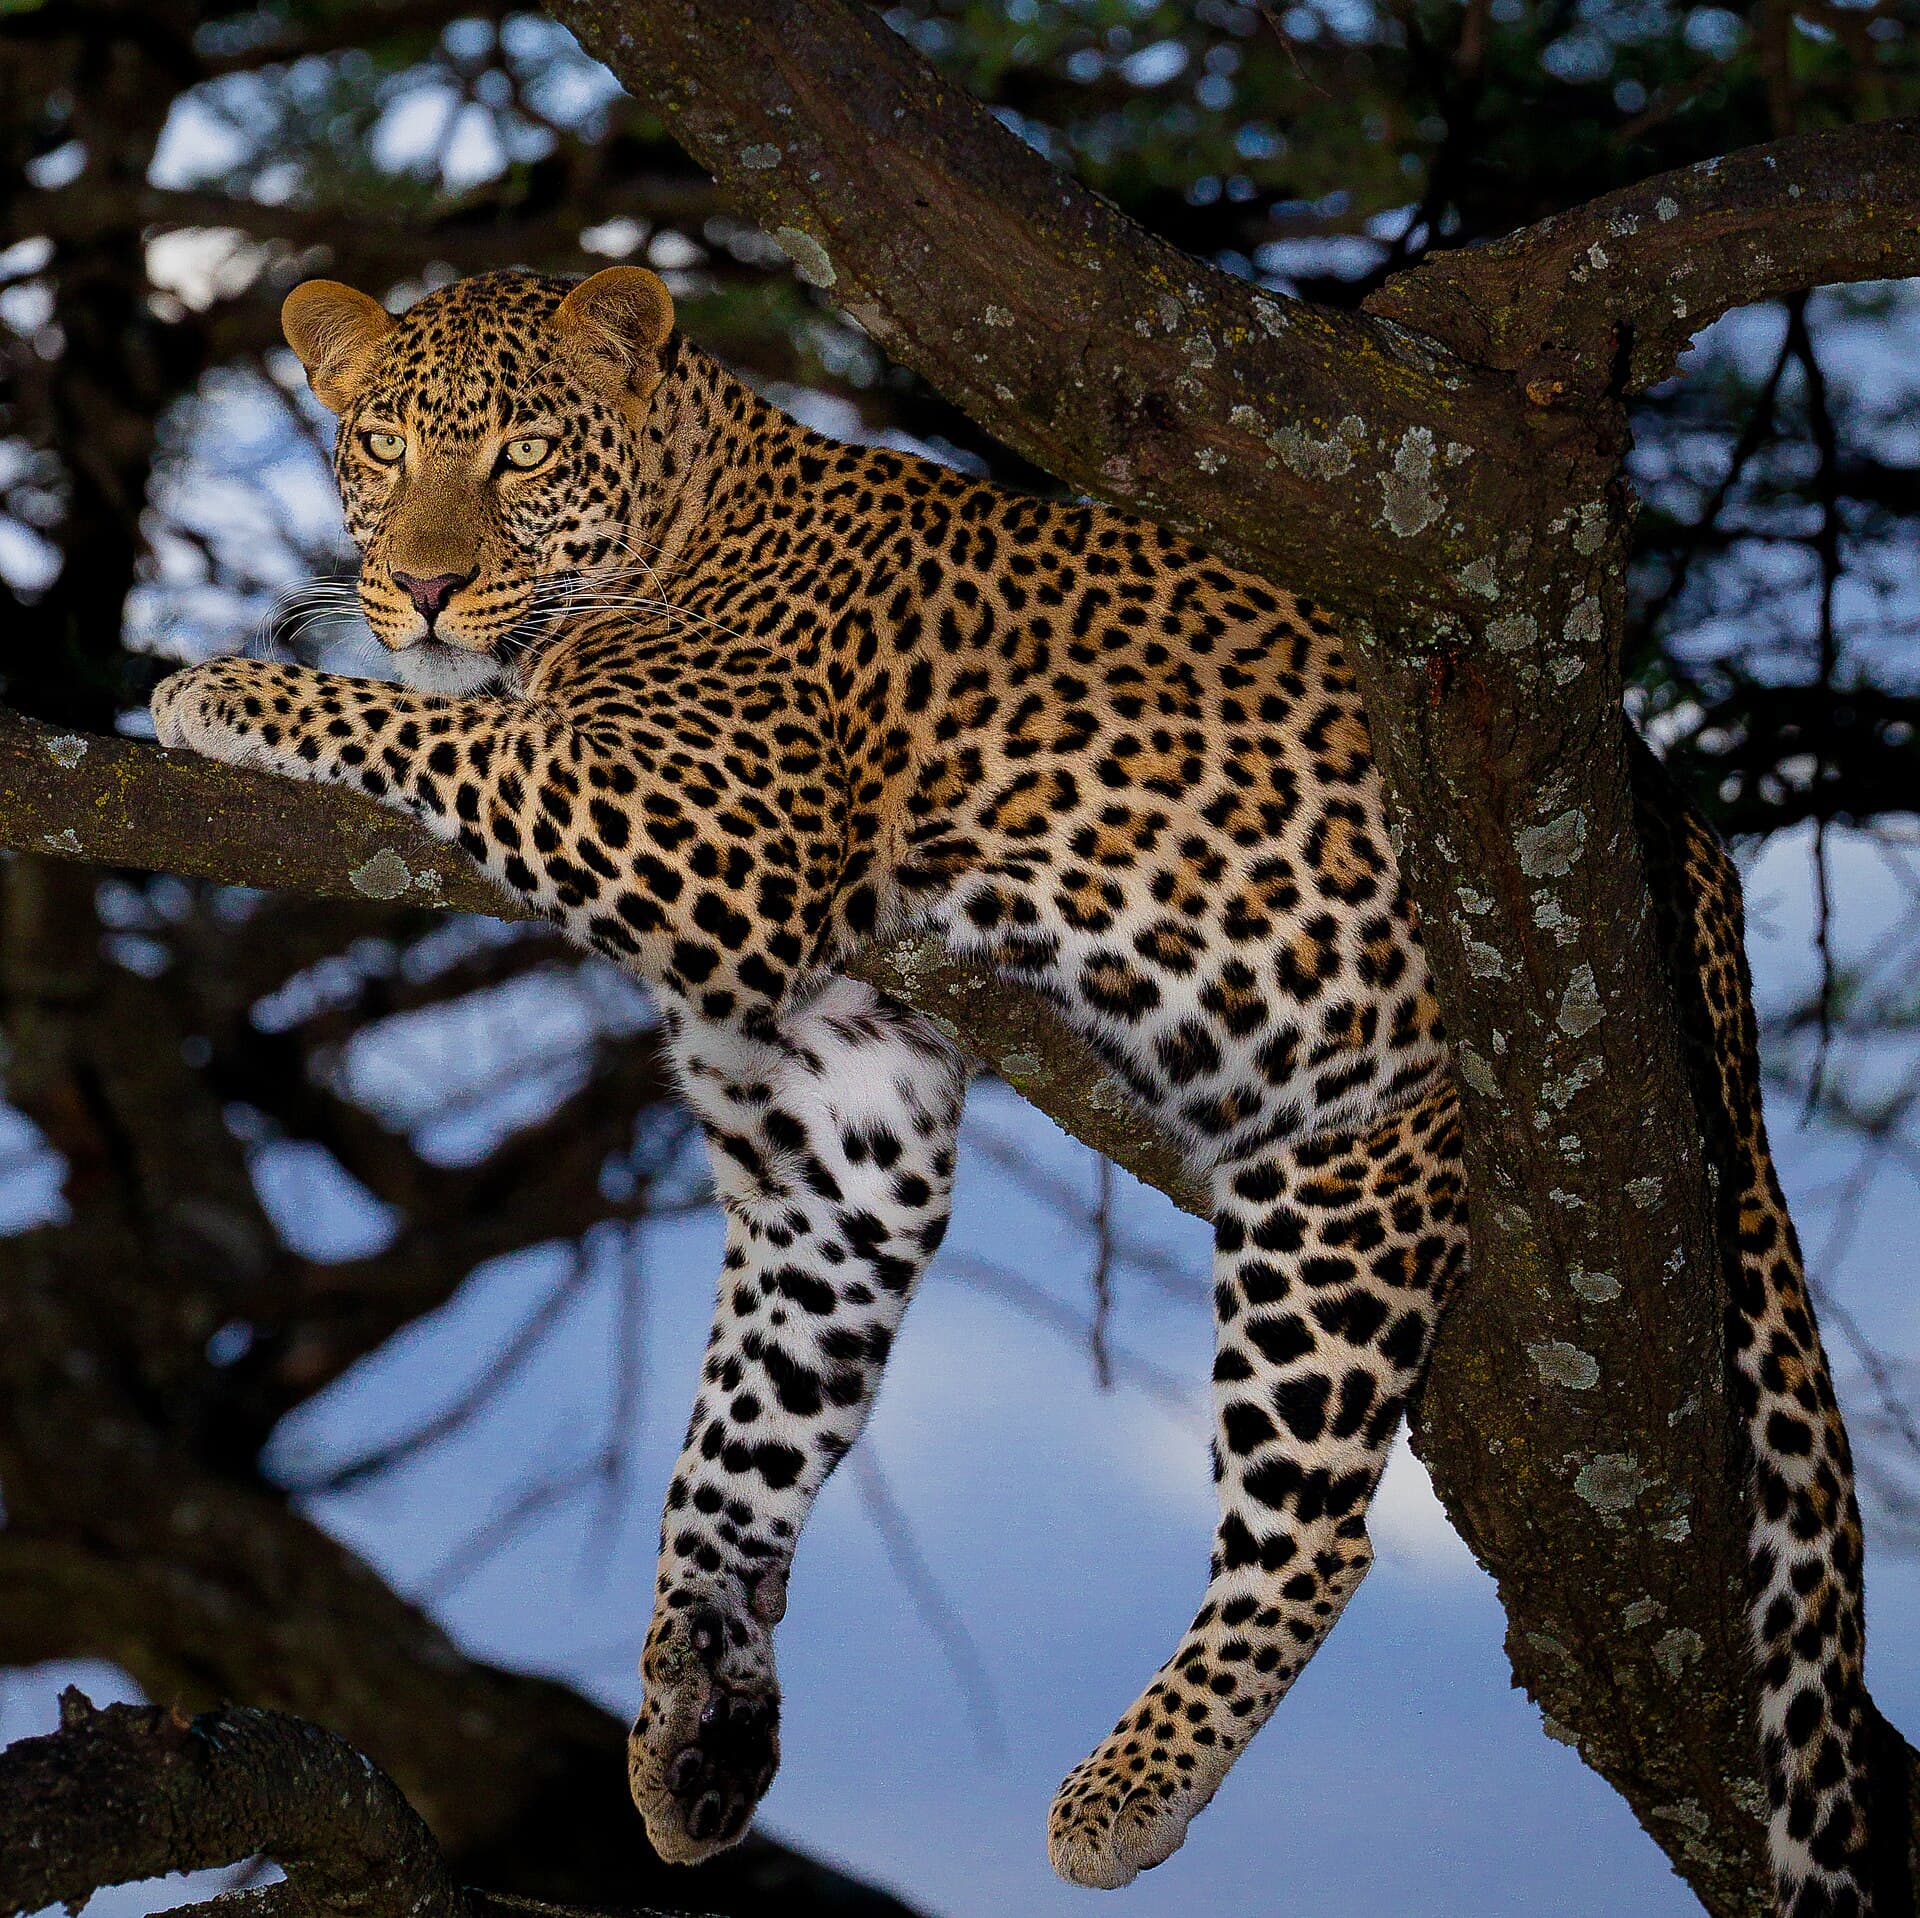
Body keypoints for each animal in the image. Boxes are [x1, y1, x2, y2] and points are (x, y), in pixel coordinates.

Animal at [152, 265, 1878, 1915]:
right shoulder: (840, 1115)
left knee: (1315, 1527)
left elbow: (448, 732)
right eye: (383, 446)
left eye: (518, 452)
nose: (426, 584)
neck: (681, 508)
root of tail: (1699, 889)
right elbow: (736, 1442)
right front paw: (696, 1716)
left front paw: (222, 690)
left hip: (1349, 1168)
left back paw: (1128, 1785)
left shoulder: (707, 821)